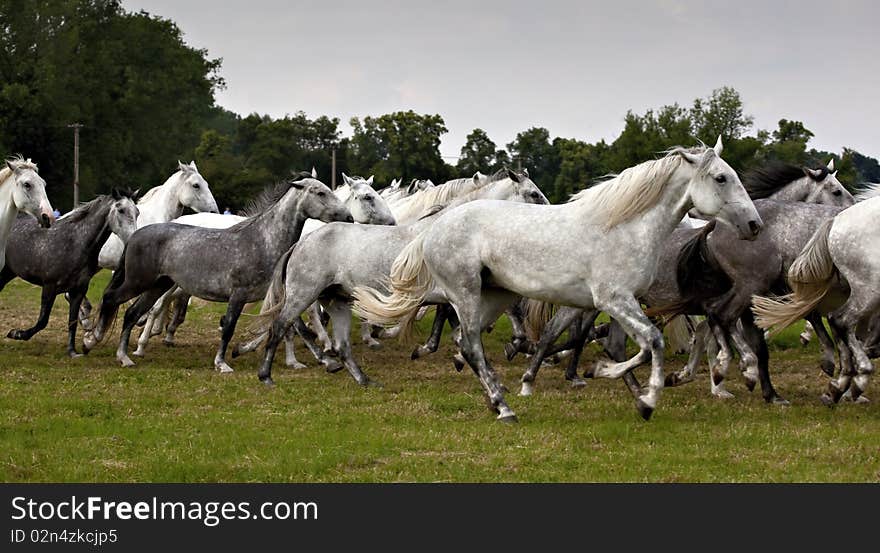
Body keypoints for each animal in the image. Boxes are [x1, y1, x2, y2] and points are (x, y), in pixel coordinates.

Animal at [0, 188, 138, 356]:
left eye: (137, 212)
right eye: (121, 210)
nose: (134, 238)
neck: (74, 242)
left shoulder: (78, 290)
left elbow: (72, 322)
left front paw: (72, 351)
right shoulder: (50, 286)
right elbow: (42, 321)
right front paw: (16, 333)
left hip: (7, 273)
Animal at [81, 174, 350, 370]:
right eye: (320, 192)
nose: (347, 217)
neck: (263, 240)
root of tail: (135, 235)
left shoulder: (276, 297)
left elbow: (293, 327)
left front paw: (314, 362)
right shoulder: (238, 295)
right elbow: (229, 326)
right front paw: (222, 364)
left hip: (158, 285)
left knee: (131, 314)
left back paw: (124, 357)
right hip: (138, 282)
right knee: (111, 300)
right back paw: (91, 341)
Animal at [354, 137, 760, 418]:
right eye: (721, 178)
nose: (754, 224)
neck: (624, 228)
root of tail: (434, 228)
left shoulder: (619, 305)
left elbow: (629, 347)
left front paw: (624, 387)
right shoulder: (614, 301)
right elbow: (653, 343)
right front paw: (642, 396)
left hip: (495, 296)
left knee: (465, 343)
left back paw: (498, 393)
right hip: (466, 294)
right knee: (470, 345)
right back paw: (503, 407)